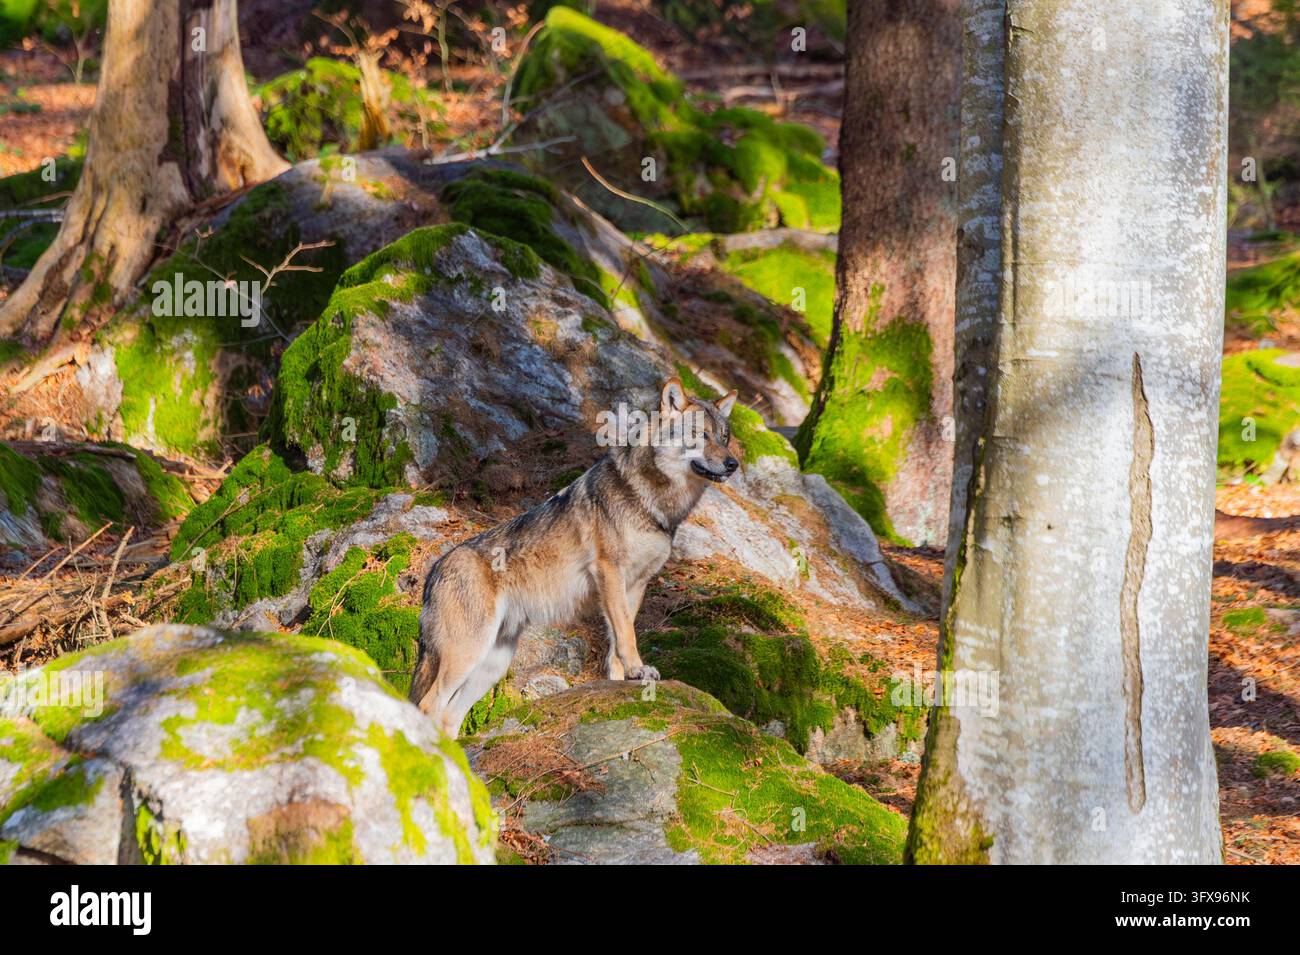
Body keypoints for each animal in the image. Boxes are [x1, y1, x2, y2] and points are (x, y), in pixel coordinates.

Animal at [409, 377, 739, 737]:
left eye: (725, 437)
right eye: (701, 434)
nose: (733, 464)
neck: (650, 502)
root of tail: (433, 571)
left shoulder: (636, 584)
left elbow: (618, 640)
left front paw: (620, 681)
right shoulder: (610, 571)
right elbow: (627, 635)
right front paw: (639, 672)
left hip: (492, 665)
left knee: (448, 717)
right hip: (467, 654)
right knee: (428, 706)